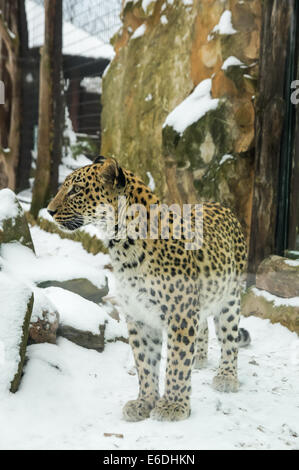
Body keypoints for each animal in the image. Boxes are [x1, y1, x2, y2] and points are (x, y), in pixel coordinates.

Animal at [48, 157, 252, 422]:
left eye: (76, 190)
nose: (49, 211)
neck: (123, 248)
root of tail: (219, 205)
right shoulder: (139, 315)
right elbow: (145, 363)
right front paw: (144, 402)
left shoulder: (180, 314)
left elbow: (176, 363)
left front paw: (173, 406)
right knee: (203, 326)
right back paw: (199, 358)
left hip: (230, 298)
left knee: (228, 337)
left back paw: (226, 376)